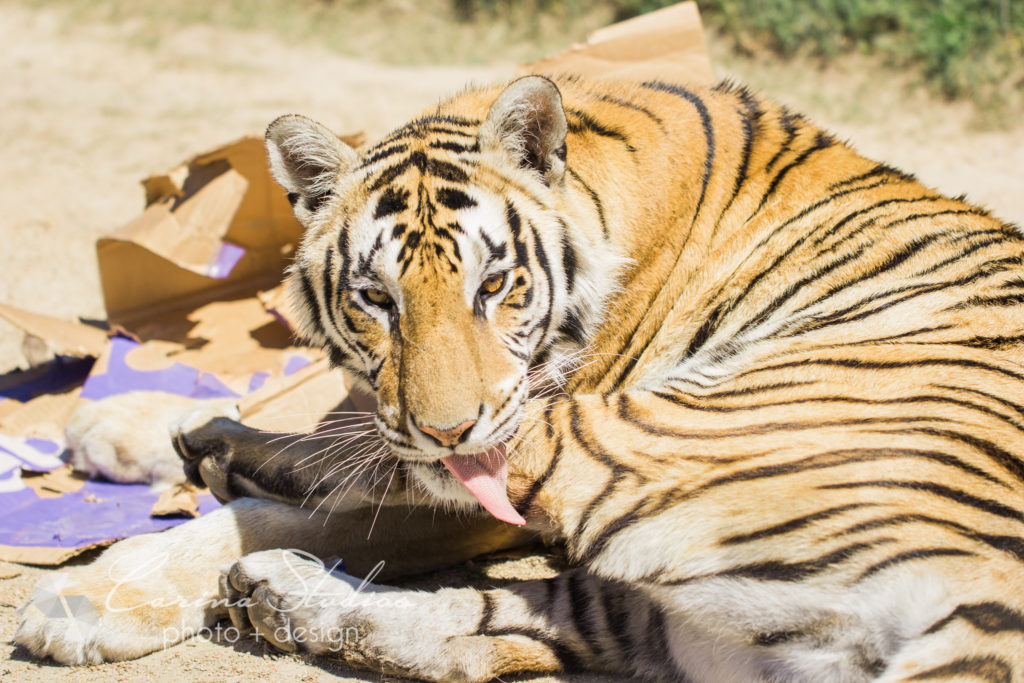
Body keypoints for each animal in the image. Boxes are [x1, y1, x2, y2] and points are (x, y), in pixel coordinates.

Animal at [14, 74, 1024, 683]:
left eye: (495, 284)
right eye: (375, 297)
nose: (447, 427)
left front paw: (97, 592)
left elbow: (338, 484)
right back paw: (279, 582)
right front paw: (135, 425)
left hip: (673, 427)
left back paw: (240, 492)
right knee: (501, 628)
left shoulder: (489, 462)